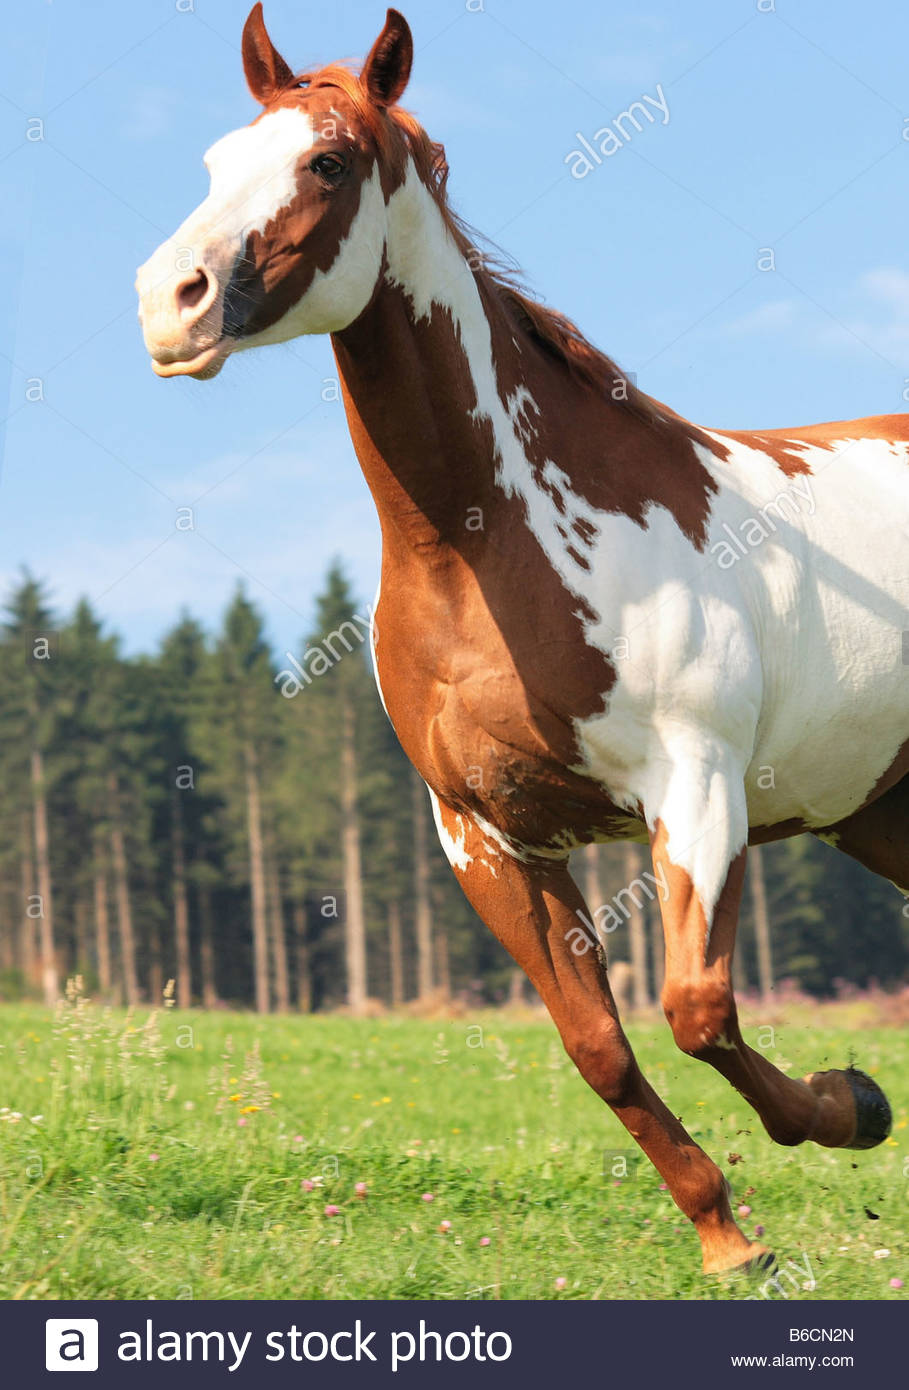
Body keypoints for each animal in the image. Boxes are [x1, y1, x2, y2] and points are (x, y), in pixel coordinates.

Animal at [136, 5, 908, 1276]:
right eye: (211, 160)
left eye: (328, 162)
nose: (170, 300)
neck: (494, 544)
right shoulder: (487, 836)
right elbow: (600, 1047)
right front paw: (726, 1232)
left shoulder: (697, 789)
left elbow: (698, 1011)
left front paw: (849, 1107)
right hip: (880, 811)